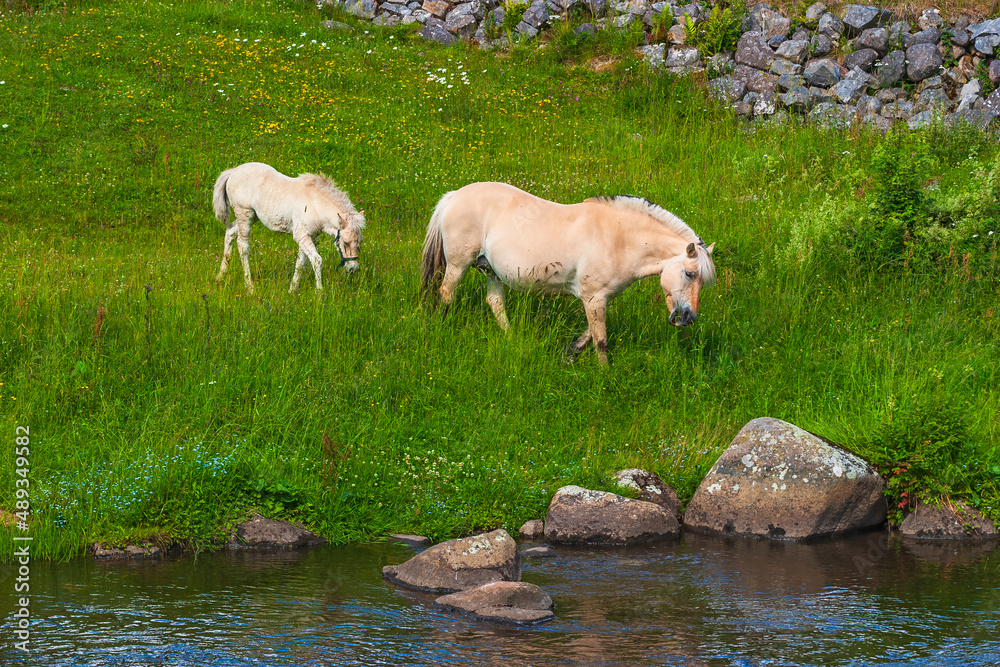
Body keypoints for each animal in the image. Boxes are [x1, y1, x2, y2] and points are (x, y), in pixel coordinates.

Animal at [212, 162, 366, 294]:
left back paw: (220, 276)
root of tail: (233, 171)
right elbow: (316, 260)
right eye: (345, 243)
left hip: (253, 217)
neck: (315, 203)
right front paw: (319, 293)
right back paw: (249, 287)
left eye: (359, 242)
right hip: (244, 214)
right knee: (243, 247)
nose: (353, 268)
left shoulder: (310, 236)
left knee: (230, 231)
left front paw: (292, 290)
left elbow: (301, 263)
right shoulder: (301, 235)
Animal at [420, 182, 716, 364]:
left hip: (491, 270)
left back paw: (511, 337)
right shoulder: (593, 298)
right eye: (690, 274)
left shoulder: (599, 299)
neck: (618, 238)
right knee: (447, 293)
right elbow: (600, 340)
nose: (688, 318)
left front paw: (568, 354)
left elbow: (589, 334)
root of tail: (453, 196)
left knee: (494, 302)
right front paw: (605, 375)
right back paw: (443, 325)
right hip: (459, 264)